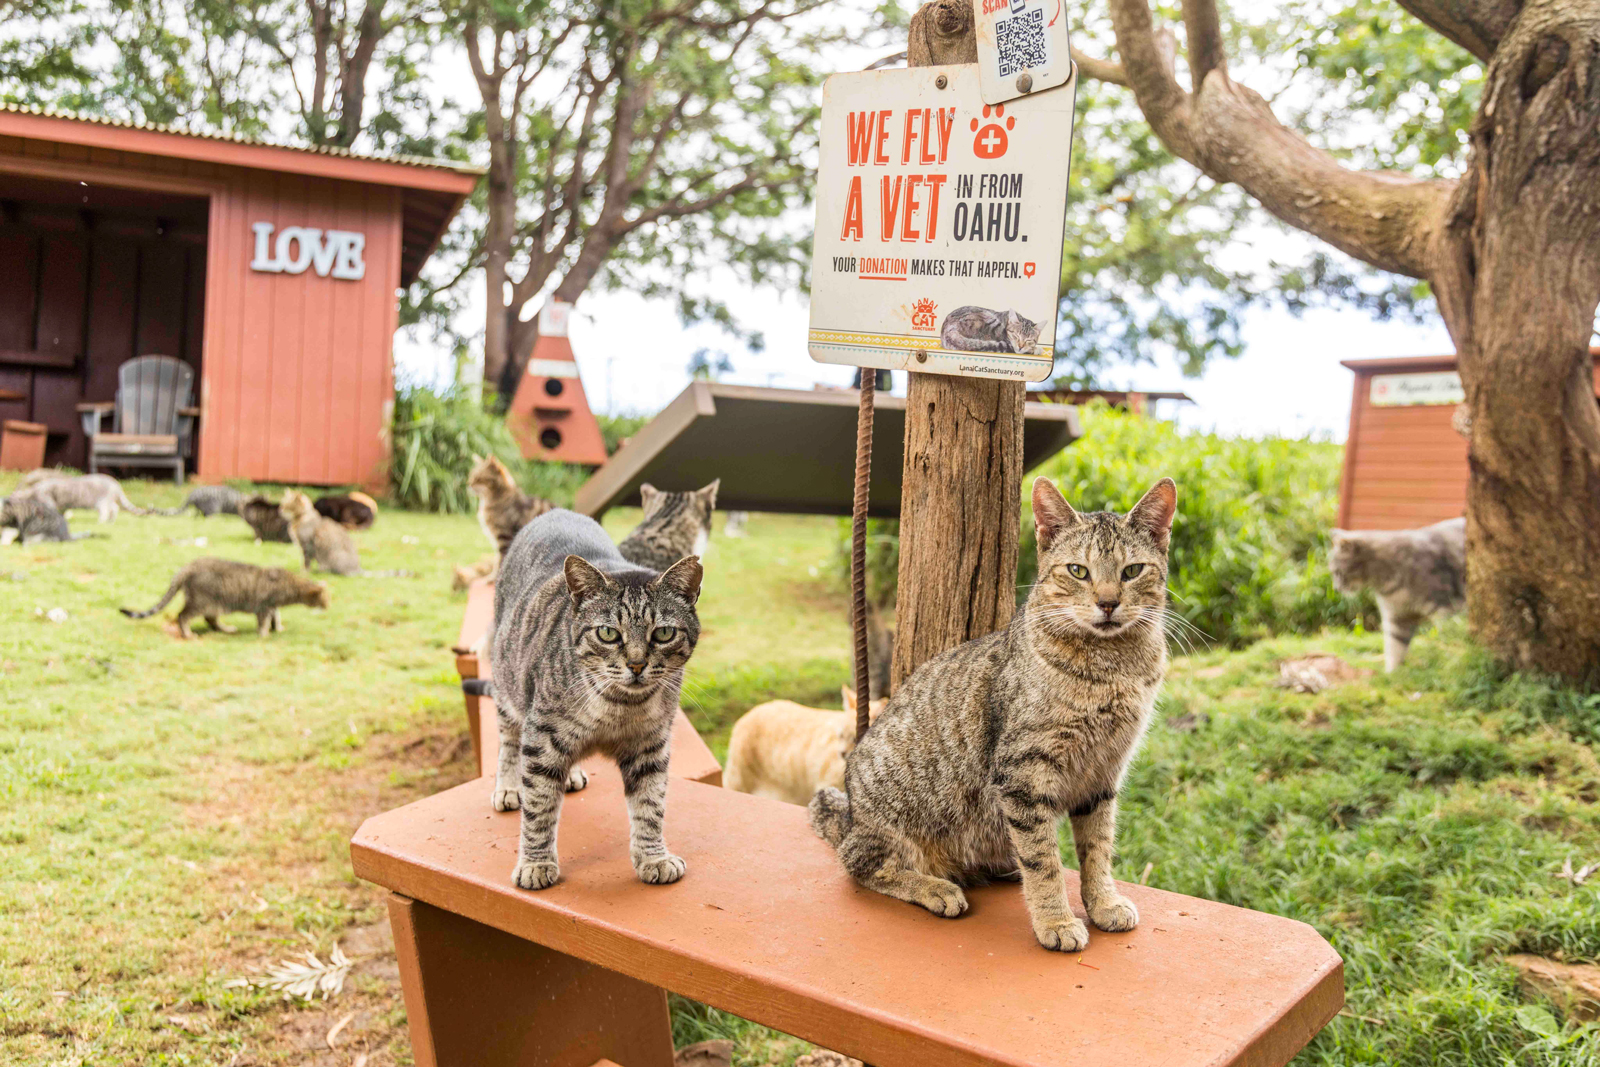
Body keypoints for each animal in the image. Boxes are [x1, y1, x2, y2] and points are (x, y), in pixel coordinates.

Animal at [489, 508, 704, 895]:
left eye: (663, 633)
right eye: (608, 633)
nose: (637, 664)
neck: (619, 708)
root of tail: (555, 511)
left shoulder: (650, 746)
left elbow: (650, 806)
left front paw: (653, 857)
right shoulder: (540, 738)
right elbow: (539, 808)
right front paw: (535, 863)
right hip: (507, 683)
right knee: (509, 740)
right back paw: (509, 786)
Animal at [812, 476, 1177, 953]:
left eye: (1132, 571)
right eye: (1078, 571)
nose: (1108, 603)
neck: (1114, 666)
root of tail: (851, 814)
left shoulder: (1103, 773)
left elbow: (1097, 849)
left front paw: (1102, 902)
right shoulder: (1024, 772)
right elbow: (1044, 861)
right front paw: (1056, 920)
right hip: (894, 821)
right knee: (861, 865)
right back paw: (937, 887)